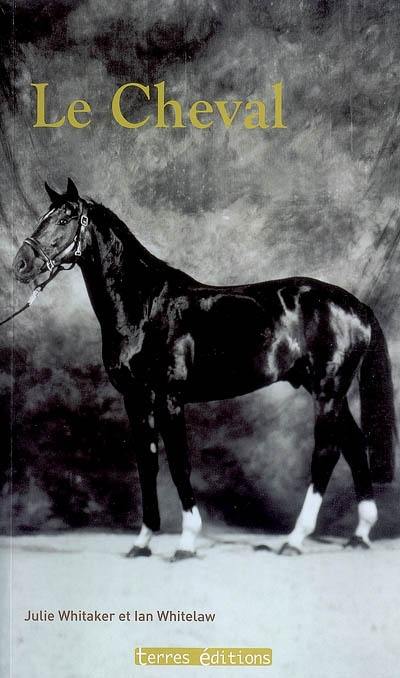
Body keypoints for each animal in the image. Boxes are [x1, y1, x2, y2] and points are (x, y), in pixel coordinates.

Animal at [13, 179, 396, 559]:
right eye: (45, 216)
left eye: (65, 219)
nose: (21, 263)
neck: (146, 306)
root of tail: (357, 306)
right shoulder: (136, 399)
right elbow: (147, 464)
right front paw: (143, 541)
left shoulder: (169, 398)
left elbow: (179, 464)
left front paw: (186, 542)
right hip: (327, 390)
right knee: (354, 445)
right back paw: (359, 535)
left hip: (328, 390)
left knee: (327, 453)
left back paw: (295, 539)